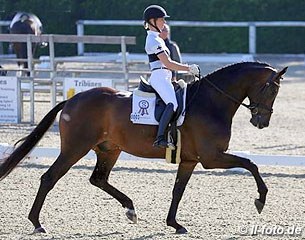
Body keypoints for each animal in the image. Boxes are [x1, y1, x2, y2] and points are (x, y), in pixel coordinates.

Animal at [0, 61, 286, 233]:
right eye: (272, 90)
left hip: (109, 149)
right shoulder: (212, 158)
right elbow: (251, 164)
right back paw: (37, 223)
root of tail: (73, 99)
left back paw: (130, 210)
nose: (261, 122)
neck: (210, 102)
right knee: (49, 178)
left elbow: (178, 191)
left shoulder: (191, 160)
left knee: (98, 179)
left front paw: (174, 224)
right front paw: (261, 199)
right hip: (74, 148)